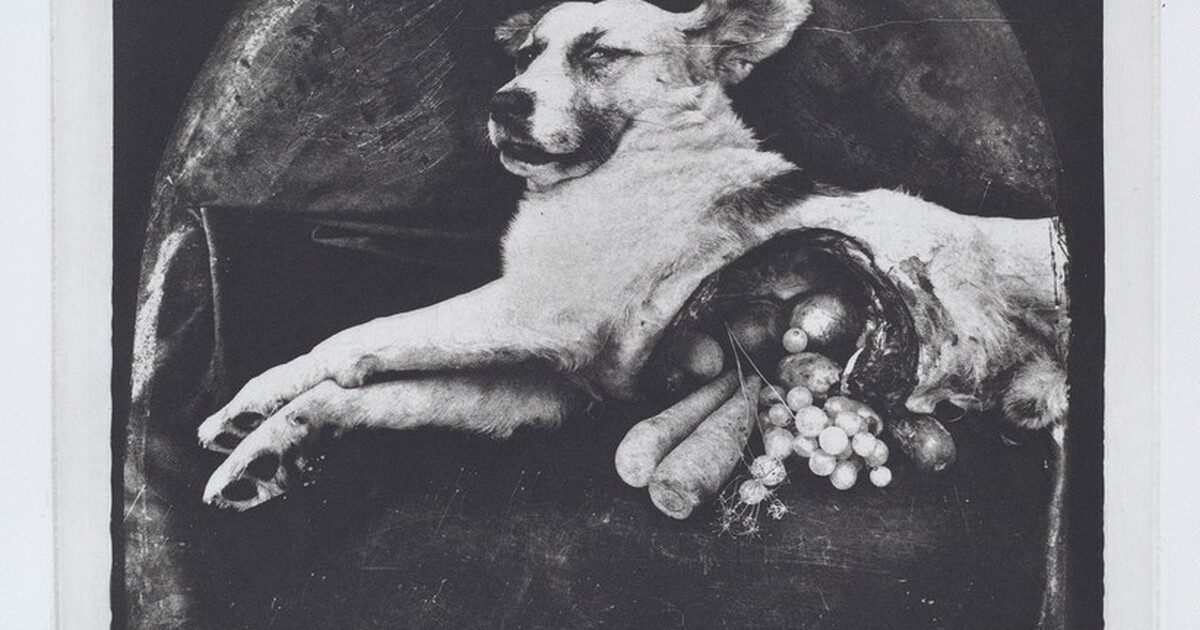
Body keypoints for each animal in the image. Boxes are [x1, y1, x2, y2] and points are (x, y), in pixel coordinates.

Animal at [198, 0, 1068, 511]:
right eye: (528, 55)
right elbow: (360, 393)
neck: (642, 158)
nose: (502, 103)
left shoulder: (537, 314)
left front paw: (263, 403)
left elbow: (354, 340)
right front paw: (263, 446)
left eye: (599, 54)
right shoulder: (544, 388)